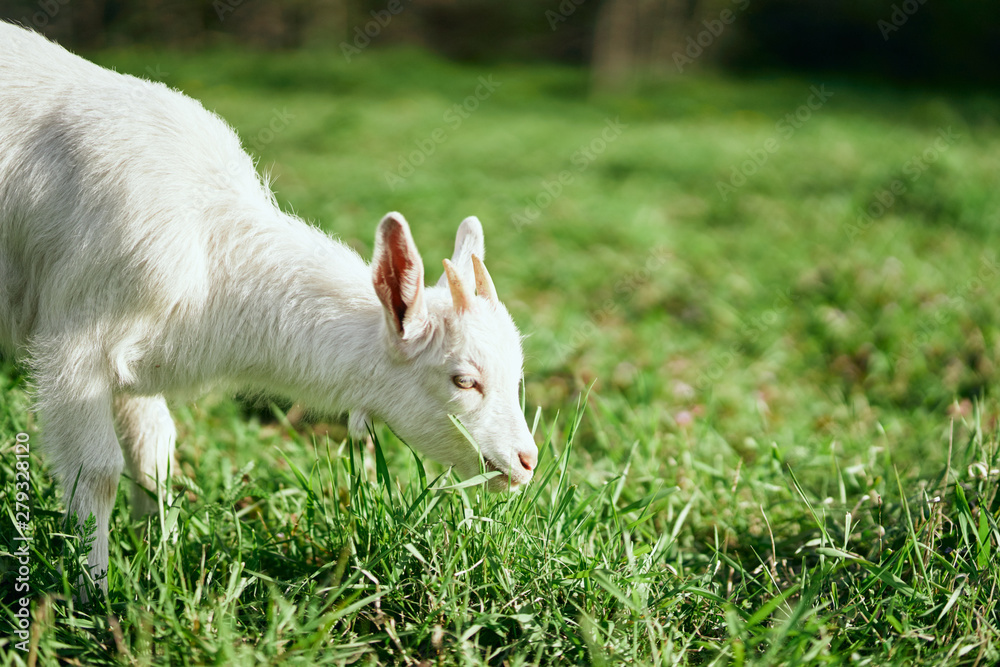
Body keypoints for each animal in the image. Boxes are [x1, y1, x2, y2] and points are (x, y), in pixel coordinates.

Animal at [0, 23, 538, 592]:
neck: (209, 257)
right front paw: (95, 593)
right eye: (465, 380)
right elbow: (97, 472)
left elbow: (153, 453)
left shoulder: (136, 357)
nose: (527, 462)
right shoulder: (78, 340)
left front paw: (159, 562)